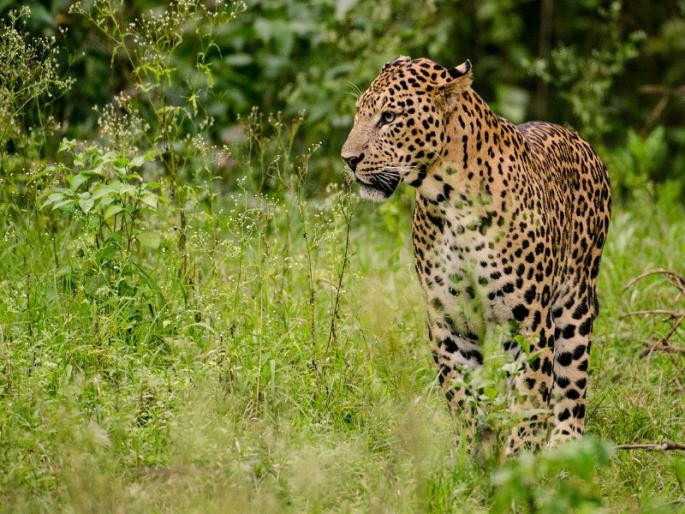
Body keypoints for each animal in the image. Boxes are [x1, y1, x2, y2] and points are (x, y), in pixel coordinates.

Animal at [341, 56, 611, 453]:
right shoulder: (451, 321)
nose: (348, 159)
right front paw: (471, 455)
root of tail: (578, 138)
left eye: (388, 117)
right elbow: (463, 397)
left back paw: (564, 446)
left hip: (574, 303)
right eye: (359, 113)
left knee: (571, 386)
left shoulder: (530, 323)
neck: (449, 201)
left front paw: (517, 460)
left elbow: (528, 402)